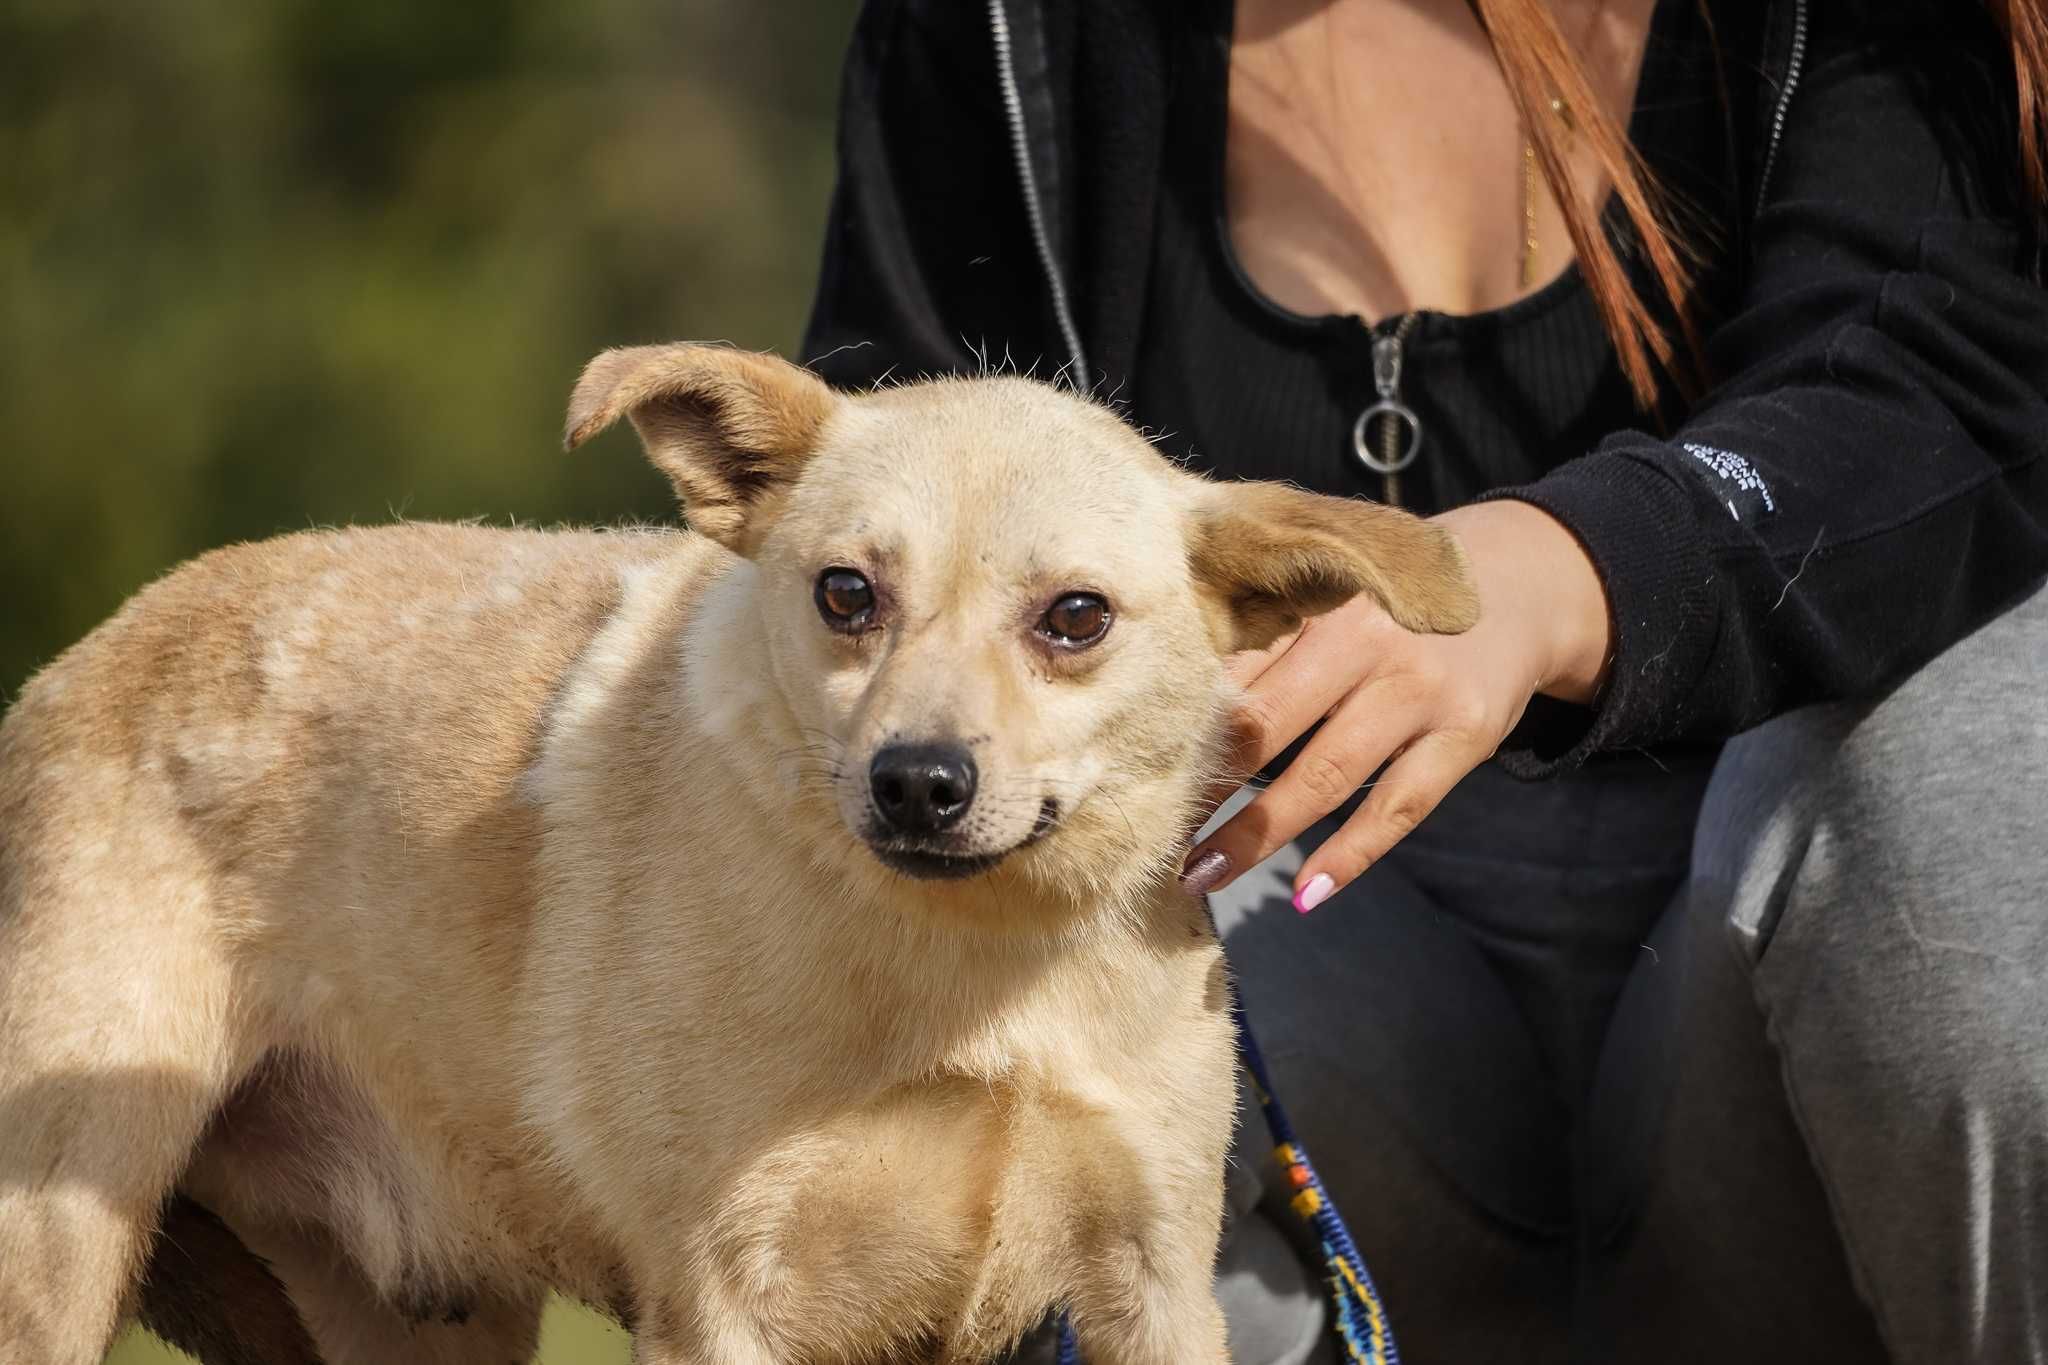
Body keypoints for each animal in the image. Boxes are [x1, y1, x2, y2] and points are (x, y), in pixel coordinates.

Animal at [0, 347, 1474, 1358]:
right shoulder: (723, 1297)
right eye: (845, 592)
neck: (974, 971)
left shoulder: (1151, 1286)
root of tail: (74, 665)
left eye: (1075, 617)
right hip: (54, 1257)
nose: (918, 782)